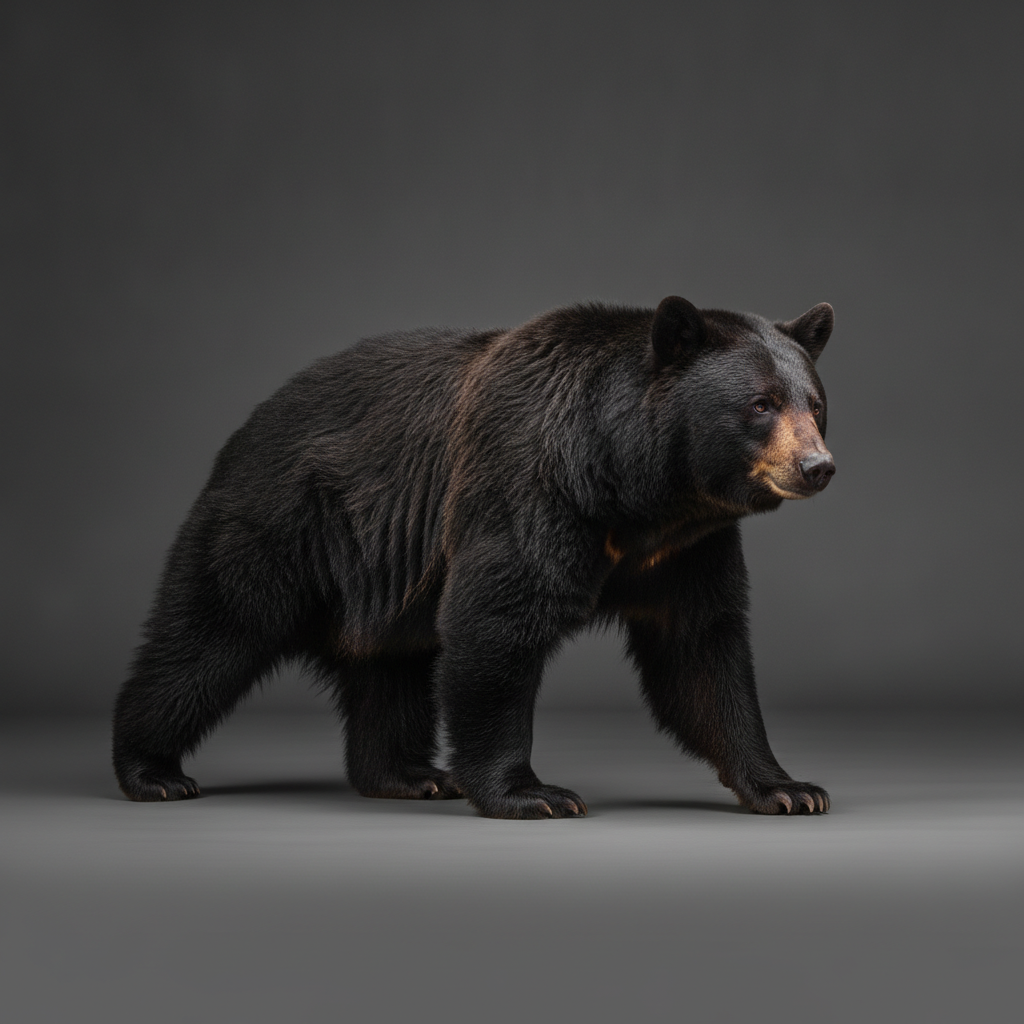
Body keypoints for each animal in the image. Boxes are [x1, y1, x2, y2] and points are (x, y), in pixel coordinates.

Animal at [113, 296, 836, 819]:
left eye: (816, 403)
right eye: (761, 404)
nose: (817, 466)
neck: (635, 491)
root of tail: (251, 421)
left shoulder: (687, 550)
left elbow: (703, 653)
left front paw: (788, 787)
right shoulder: (529, 488)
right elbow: (497, 625)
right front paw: (532, 793)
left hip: (385, 577)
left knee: (390, 666)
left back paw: (406, 774)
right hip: (282, 523)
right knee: (212, 634)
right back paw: (152, 770)